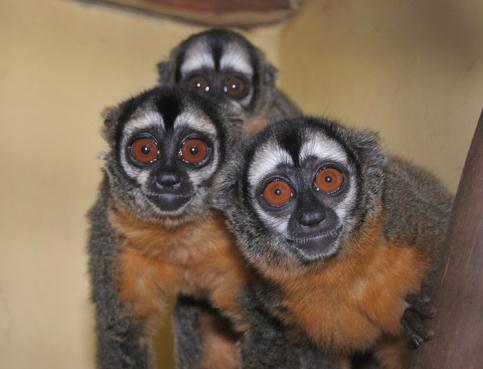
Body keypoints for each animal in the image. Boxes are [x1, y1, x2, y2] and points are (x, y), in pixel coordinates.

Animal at [221, 117, 456, 368]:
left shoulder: (405, 208)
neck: (343, 263)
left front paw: (418, 311)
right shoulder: (271, 296)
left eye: (328, 179)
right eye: (277, 192)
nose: (311, 217)